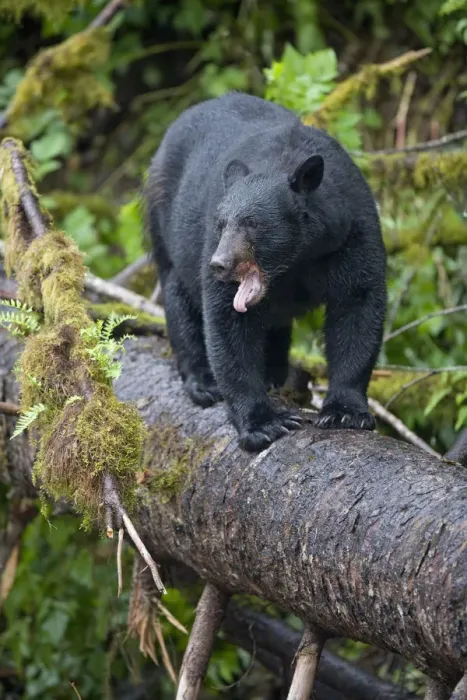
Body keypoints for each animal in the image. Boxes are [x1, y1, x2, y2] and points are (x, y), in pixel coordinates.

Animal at [145, 91, 386, 452]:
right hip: (164, 223)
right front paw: (263, 423)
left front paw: (345, 411)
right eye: (221, 223)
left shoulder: (351, 234)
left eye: (253, 223)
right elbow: (227, 323)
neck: (297, 259)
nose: (218, 264)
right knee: (179, 296)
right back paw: (202, 381)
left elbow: (358, 303)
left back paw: (274, 373)